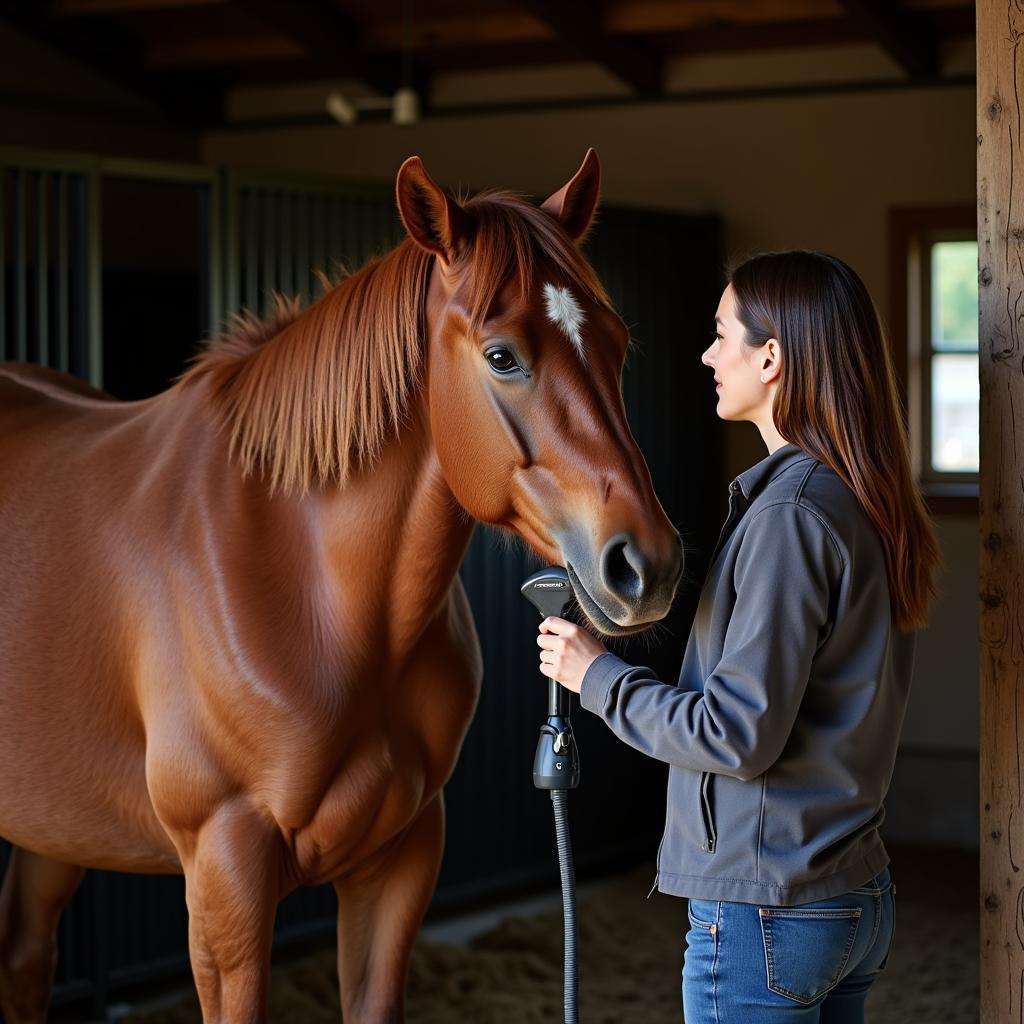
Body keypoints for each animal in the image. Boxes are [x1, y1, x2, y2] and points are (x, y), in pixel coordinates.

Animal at [2, 151, 688, 1024]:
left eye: (616, 342)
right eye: (502, 355)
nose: (648, 565)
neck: (315, 593)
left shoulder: (400, 861)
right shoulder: (224, 875)